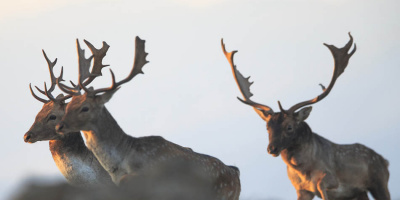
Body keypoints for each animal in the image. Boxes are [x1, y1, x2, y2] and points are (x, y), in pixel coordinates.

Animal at [220, 33, 390, 200]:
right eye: (267, 127)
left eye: (289, 127)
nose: (271, 148)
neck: (303, 171)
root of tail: (385, 160)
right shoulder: (301, 189)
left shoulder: (332, 180)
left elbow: (321, 183)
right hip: (360, 193)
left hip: (380, 182)